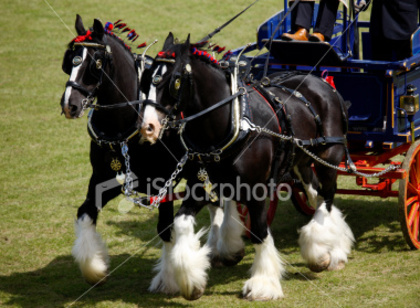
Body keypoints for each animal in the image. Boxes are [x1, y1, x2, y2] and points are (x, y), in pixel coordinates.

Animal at [60, 15, 185, 286]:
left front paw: (171, 278)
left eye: (95, 63)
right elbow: (85, 212)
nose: (68, 105)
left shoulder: (165, 183)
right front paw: (94, 268)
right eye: (69, 59)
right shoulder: (105, 178)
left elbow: (165, 228)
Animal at [139, 32, 356, 300]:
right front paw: (191, 280)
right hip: (302, 162)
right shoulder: (204, 186)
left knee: (327, 198)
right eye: (146, 79)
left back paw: (327, 253)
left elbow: (260, 231)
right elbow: (180, 222)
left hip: (329, 157)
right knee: (316, 195)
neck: (230, 123)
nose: (148, 127)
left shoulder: (257, 189)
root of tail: (323, 82)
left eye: (174, 81)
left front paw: (263, 284)